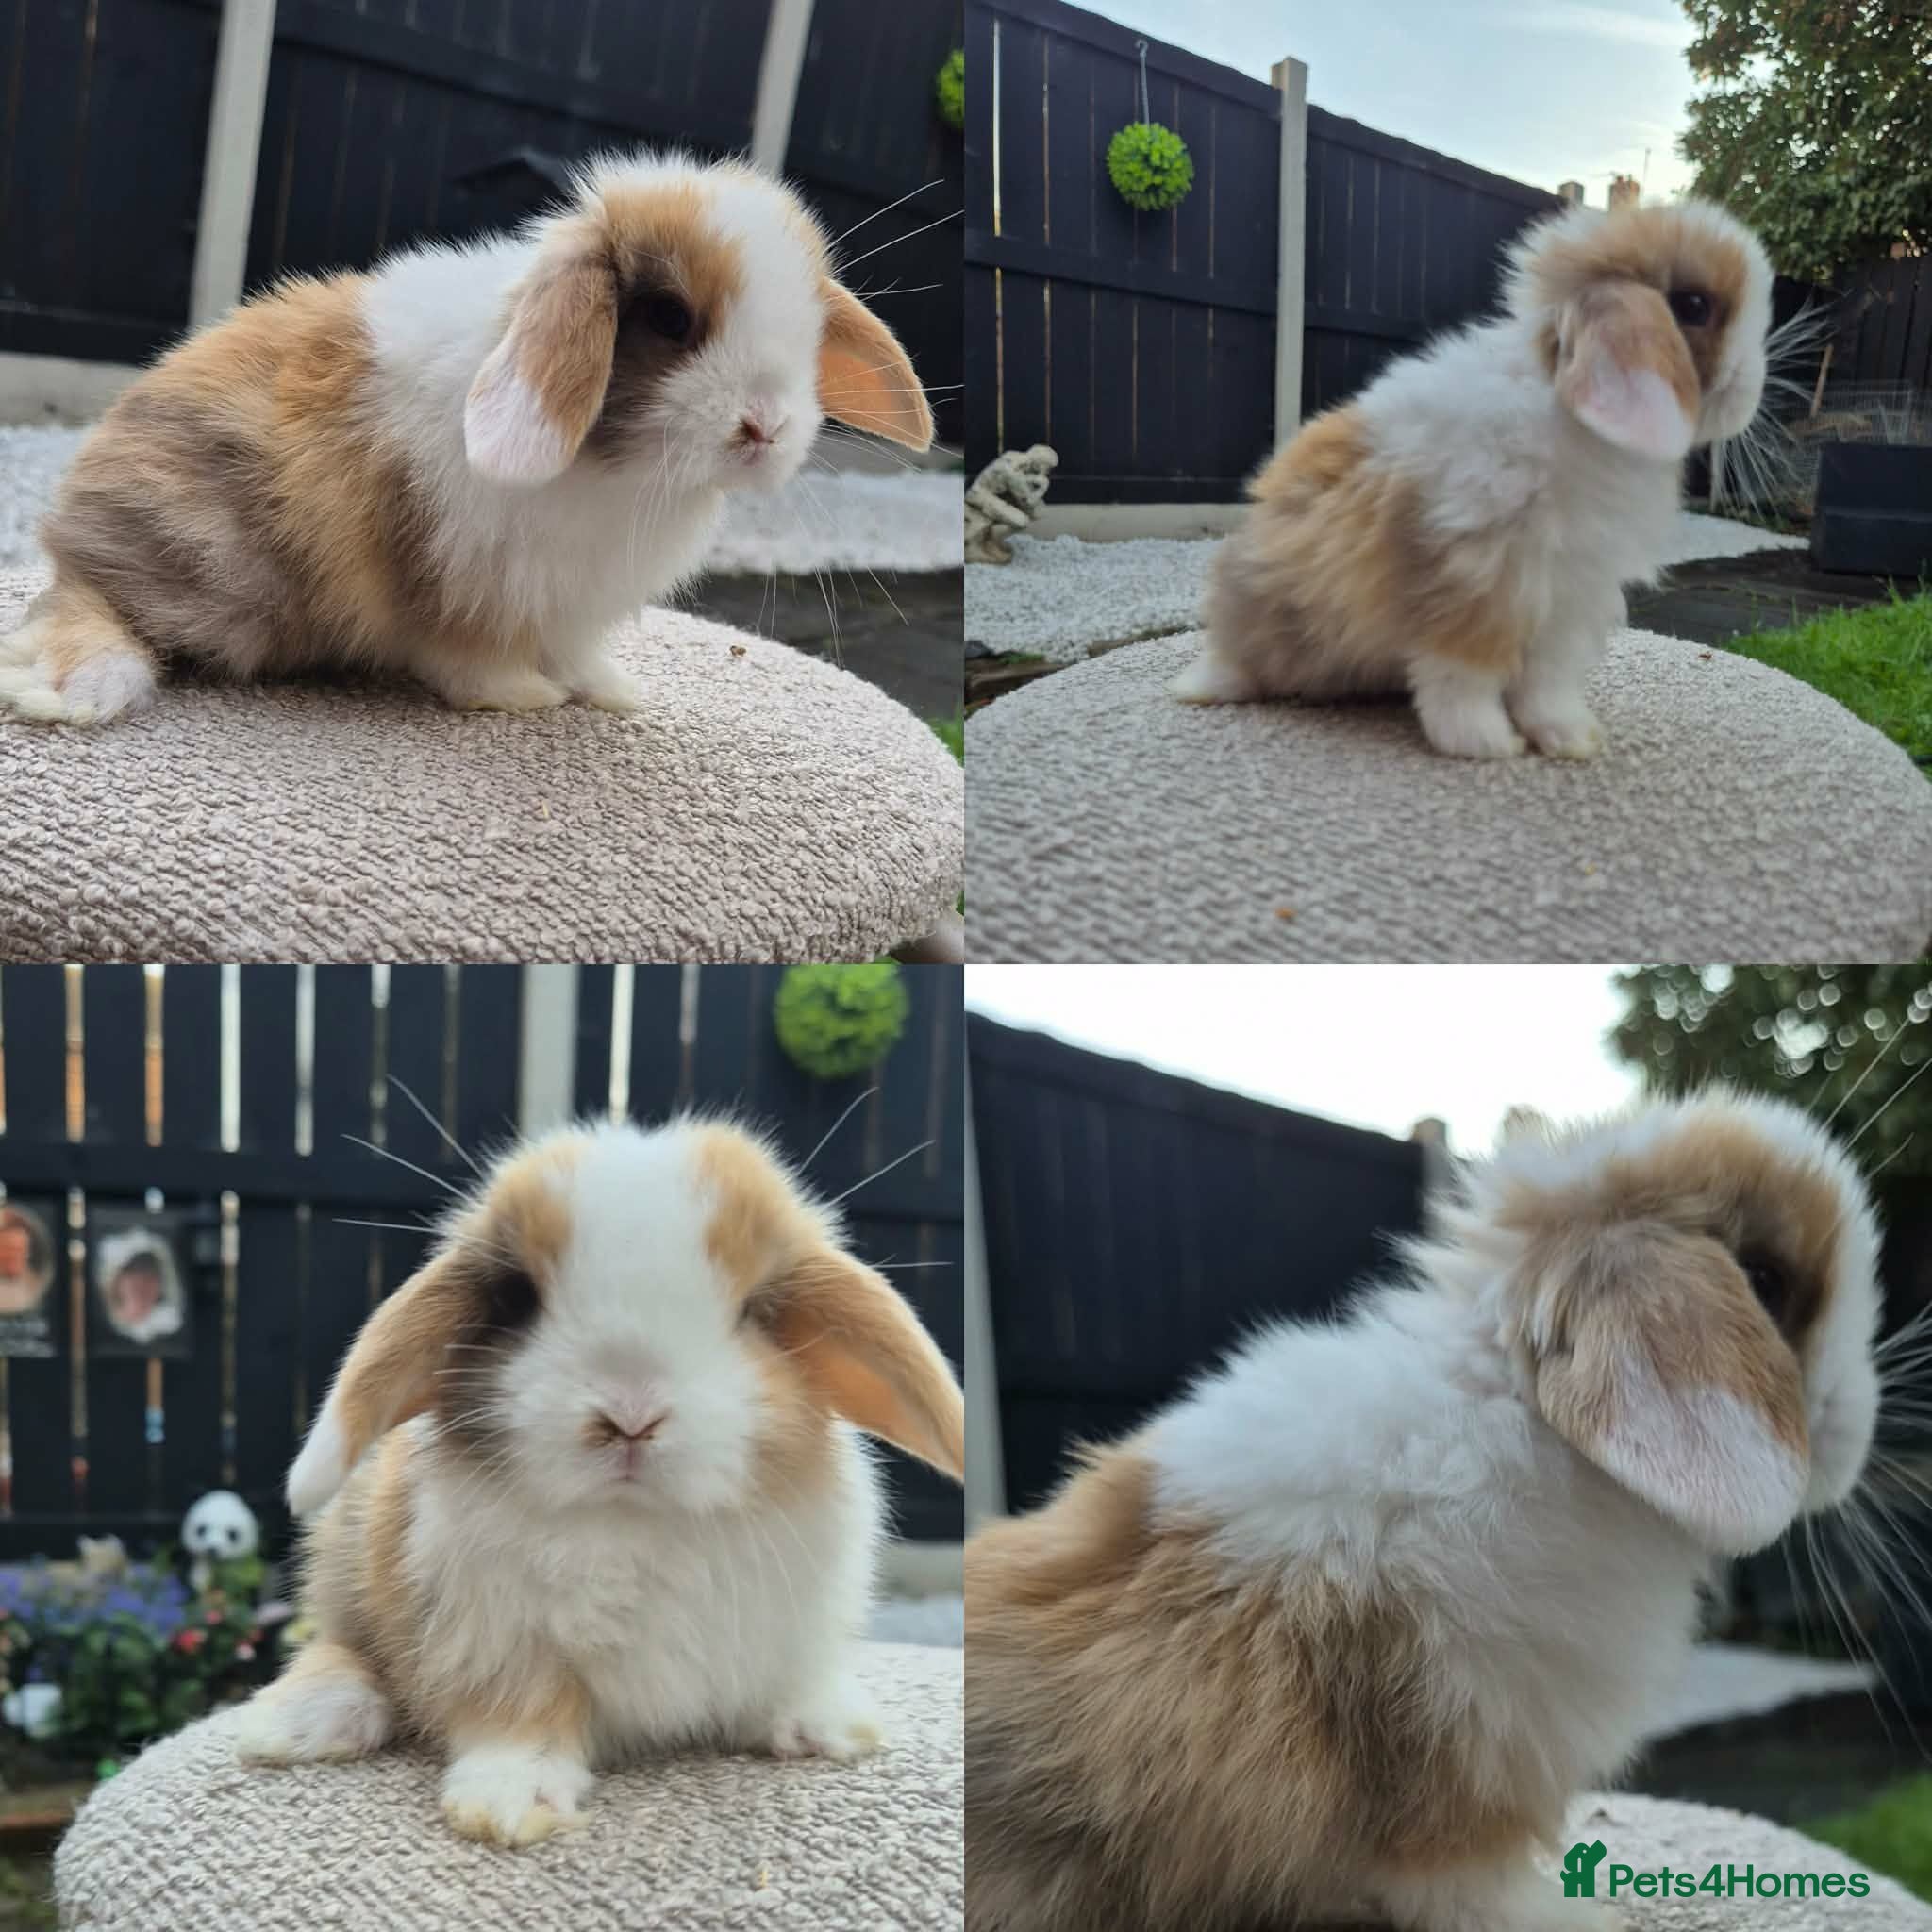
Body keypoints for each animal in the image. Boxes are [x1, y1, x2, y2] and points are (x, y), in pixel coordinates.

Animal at [0, 150, 933, 726]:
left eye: (811, 330)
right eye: (671, 319)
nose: (766, 427)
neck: (616, 467)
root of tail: (76, 533)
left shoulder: (570, 607)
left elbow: (581, 656)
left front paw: (615, 695)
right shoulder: (450, 581)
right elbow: (465, 656)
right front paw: (524, 699)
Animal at [233, 1115, 964, 1848]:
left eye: (756, 1310)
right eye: (516, 1297)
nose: (631, 1417)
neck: (632, 1523)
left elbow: (779, 1686)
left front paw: (827, 1728)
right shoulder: (490, 1642)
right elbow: (519, 1715)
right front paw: (510, 1804)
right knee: (343, 1649)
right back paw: (294, 1723)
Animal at [966, 1089, 1883, 1932]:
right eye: (1764, 1282)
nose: (1859, 1425)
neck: (1516, 1411)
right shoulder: (1451, 1791)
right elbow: (1469, 1891)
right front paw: (1580, 1916)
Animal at [1172, 198, 1772, 759]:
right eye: (1693, 306)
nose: (1752, 390)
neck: (1568, 417)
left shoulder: (1567, 601)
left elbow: (1547, 685)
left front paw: (1571, 740)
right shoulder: (1473, 582)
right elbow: (1462, 676)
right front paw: (1487, 744)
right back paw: (1199, 691)